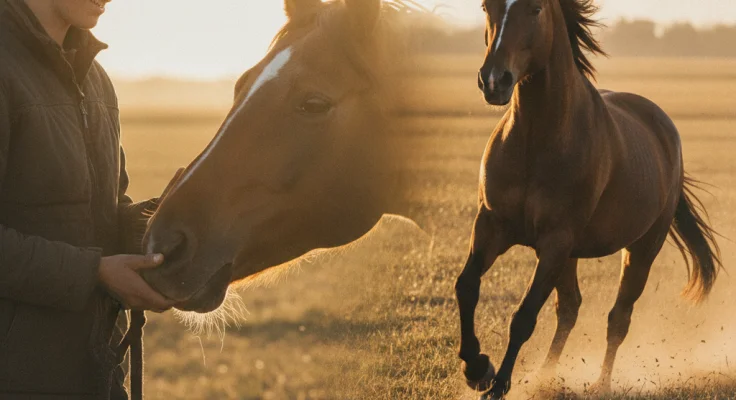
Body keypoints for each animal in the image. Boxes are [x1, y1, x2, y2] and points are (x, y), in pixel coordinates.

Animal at [455, 0, 722, 398]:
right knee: (570, 308)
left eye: (535, 8)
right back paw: (545, 377)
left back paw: (600, 382)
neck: (537, 138)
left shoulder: (556, 241)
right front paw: (477, 368)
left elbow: (524, 317)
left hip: (642, 248)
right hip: (570, 254)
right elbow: (467, 287)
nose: (493, 80)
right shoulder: (491, 226)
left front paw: (498, 383)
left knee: (618, 318)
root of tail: (665, 128)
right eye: (487, 6)